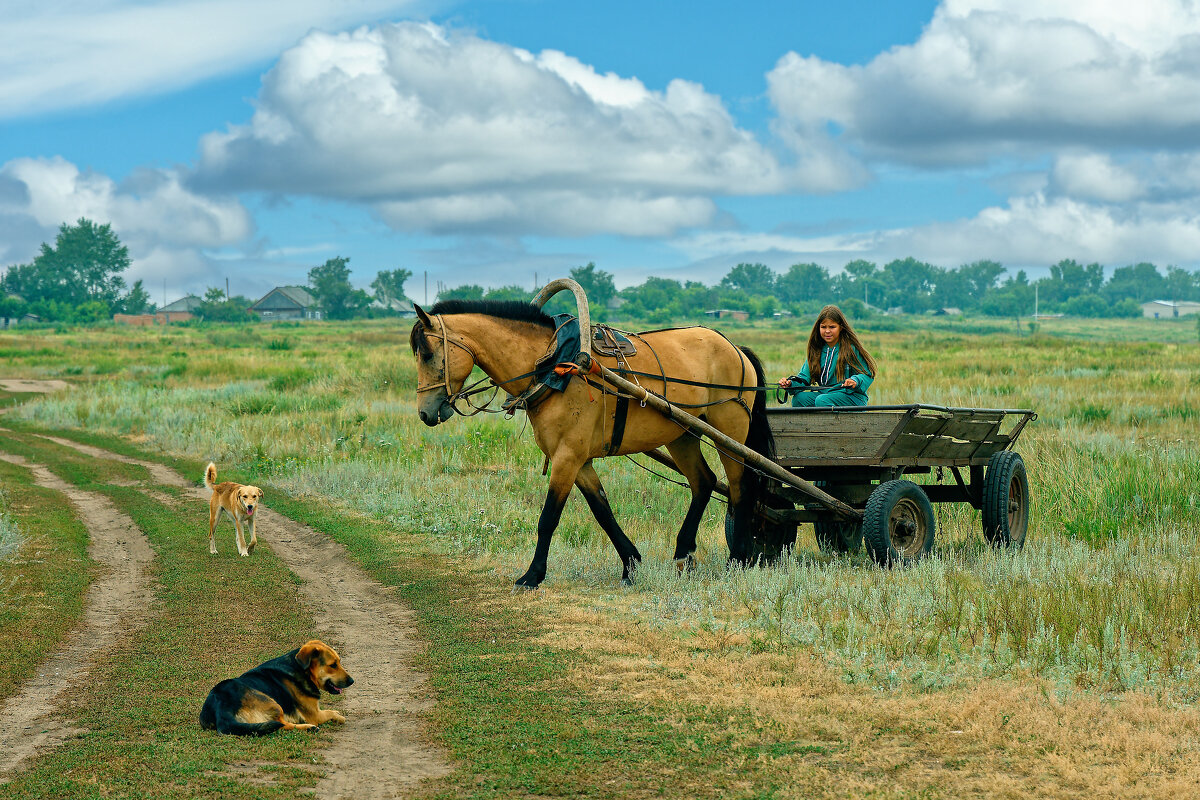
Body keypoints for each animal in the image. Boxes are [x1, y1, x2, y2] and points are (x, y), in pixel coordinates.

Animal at [196, 642, 352, 734]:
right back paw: (308, 727)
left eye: (339, 662)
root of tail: (221, 708)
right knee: (282, 724)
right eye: (333, 665)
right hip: (274, 704)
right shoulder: (315, 715)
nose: (352, 681)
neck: (303, 670)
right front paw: (338, 716)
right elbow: (332, 714)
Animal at [408, 299, 772, 587]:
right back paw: (684, 552)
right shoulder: (579, 460)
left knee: (739, 488)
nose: (424, 412)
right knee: (704, 482)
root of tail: (734, 347)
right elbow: (602, 511)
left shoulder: (567, 456)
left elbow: (549, 518)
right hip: (682, 434)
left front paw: (532, 576)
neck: (555, 364)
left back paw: (737, 560)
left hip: (730, 433)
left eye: (428, 353)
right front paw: (631, 564)